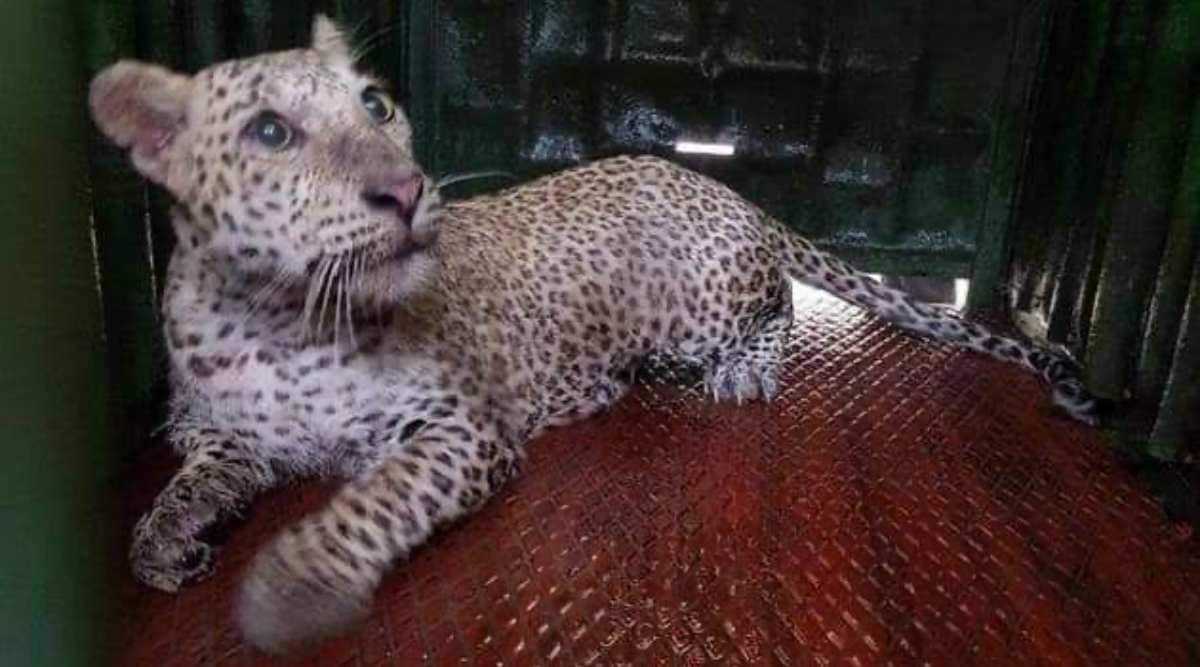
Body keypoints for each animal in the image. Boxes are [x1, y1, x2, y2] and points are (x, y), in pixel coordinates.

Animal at [89, 15, 1102, 655]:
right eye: (270, 132)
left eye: (375, 105)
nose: (407, 190)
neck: (278, 317)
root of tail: (729, 191)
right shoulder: (222, 433)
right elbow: (191, 480)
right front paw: (163, 540)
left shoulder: (460, 430)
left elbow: (374, 500)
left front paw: (292, 581)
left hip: (709, 294)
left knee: (777, 306)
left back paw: (737, 371)